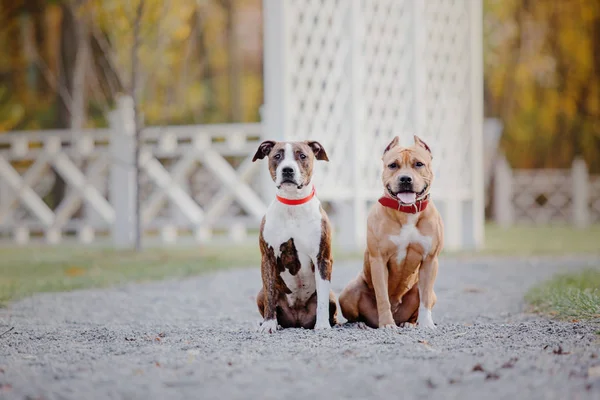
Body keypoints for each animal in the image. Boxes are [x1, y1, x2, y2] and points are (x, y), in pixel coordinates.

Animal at [252, 139, 338, 332]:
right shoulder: (267, 258)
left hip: (333, 296)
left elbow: (322, 300)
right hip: (259, 294)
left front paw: (322, 325)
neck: (293, 204)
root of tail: (297, 321)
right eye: (277, 156)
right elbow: (270, 295)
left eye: (302, 156)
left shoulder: (323, 259)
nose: (287, 170)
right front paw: (268, 324)